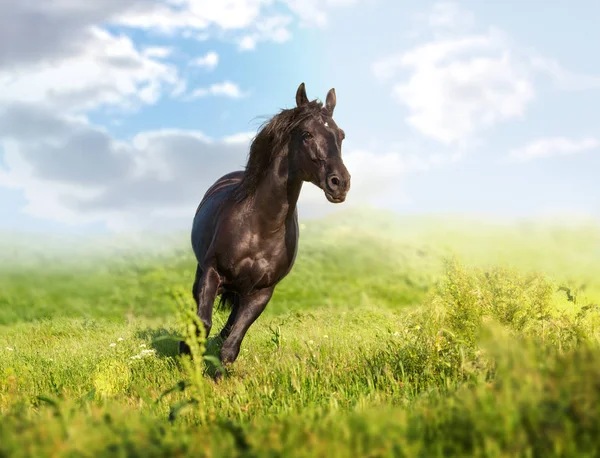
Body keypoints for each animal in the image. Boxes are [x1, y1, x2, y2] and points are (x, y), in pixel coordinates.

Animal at [183, 83, 352, 372]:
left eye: (340, 135)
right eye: (307, 134)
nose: (340, 183)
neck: (260, 227)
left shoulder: (261, 293)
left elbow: (231, 344)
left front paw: (216, 376)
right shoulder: (212, 273)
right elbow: (202, 325)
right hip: (202, 272)